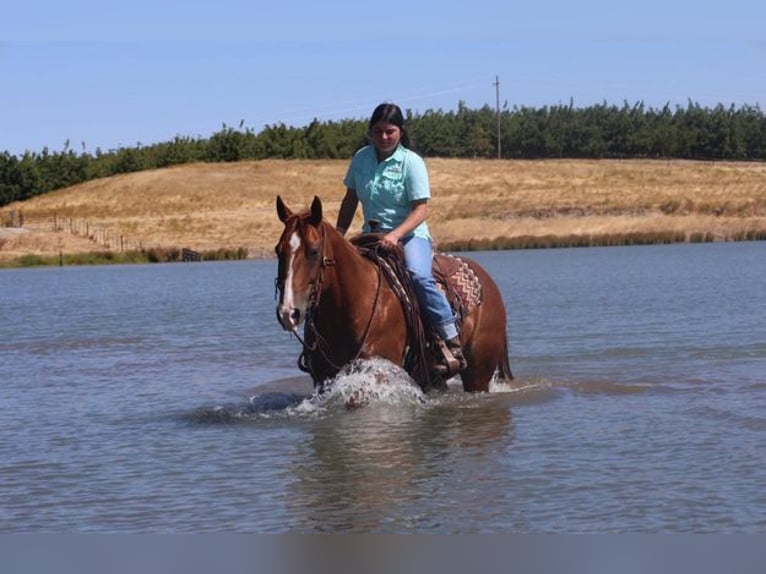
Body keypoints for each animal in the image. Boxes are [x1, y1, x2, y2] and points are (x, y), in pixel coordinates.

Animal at [274, 195, 513, 393]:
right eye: (278, 250)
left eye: (314, 251)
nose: (288, 312)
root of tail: (487, 281)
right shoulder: (323, 378)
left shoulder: (377, 372)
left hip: (478, 372)